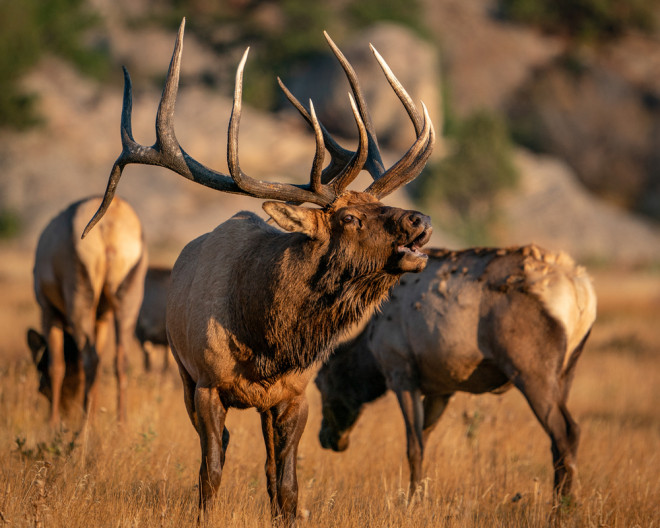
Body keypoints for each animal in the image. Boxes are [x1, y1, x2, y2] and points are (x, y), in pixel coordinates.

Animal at [27, 196, 148, 426]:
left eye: (39, 369)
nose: (65, 410)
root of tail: (111, 222)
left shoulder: (48, 310)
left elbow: (57, 365)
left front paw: (52, 423)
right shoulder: (102, 317)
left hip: (80, 295)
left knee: (90, 359)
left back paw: (84, 425)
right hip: (129, 296)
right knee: (120, 359)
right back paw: (120, 424)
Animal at [81, 19, 435, 525]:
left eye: (375, 203)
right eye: (349, 217)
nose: (419, 220)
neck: (267, 339)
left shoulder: (295, 395)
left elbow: (286, 485)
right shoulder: (207, 384)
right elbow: (210, 473)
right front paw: (204, 515)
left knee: (268, 467)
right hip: (184, 375)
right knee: (218, 449)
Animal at [315, 245, 597, 507]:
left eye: (320, 384)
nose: (325, 437)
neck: (370, 351)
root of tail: (581, 290)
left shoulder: (401, 373)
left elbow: (413, 446)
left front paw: (411, 501)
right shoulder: (442, 389)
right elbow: (424, 438)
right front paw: (419, 495)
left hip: (531, 370)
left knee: (567, 431)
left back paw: (561, 508)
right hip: (566, 370)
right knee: (558, 440)